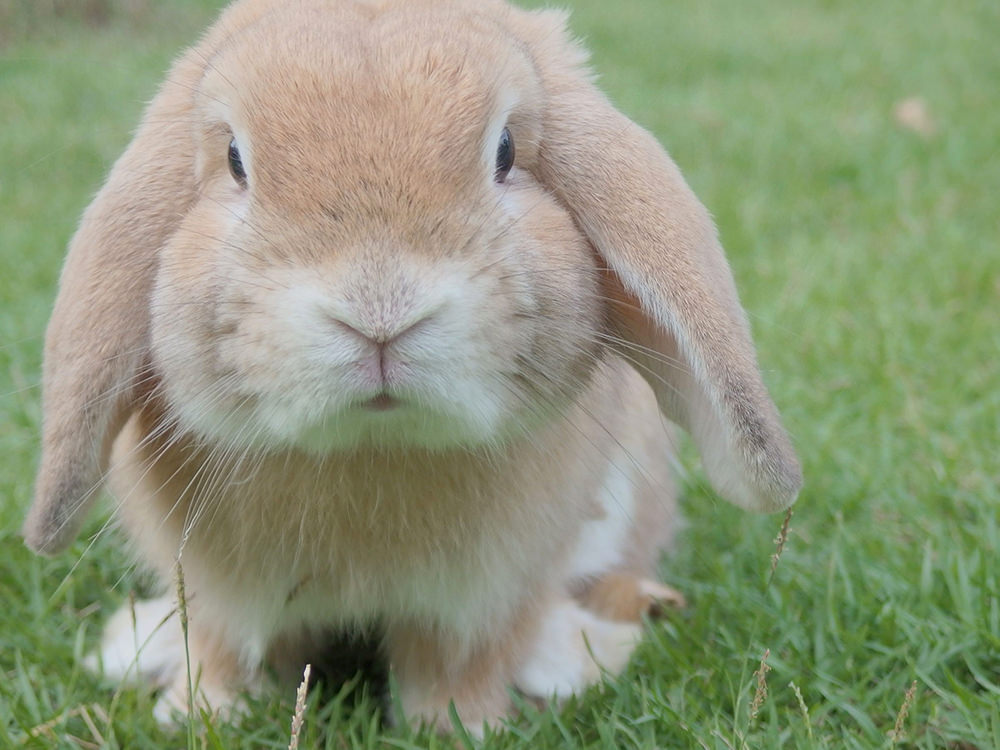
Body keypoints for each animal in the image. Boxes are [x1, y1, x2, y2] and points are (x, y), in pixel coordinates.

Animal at [22, 0, 802, 733]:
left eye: (506, 150)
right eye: (237, 161)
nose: (379, 310)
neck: (373, 448)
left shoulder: (481, 599)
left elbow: (456, 663)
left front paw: (462, 727)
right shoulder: (218, 595)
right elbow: (224, 651)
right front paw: (200, 715)